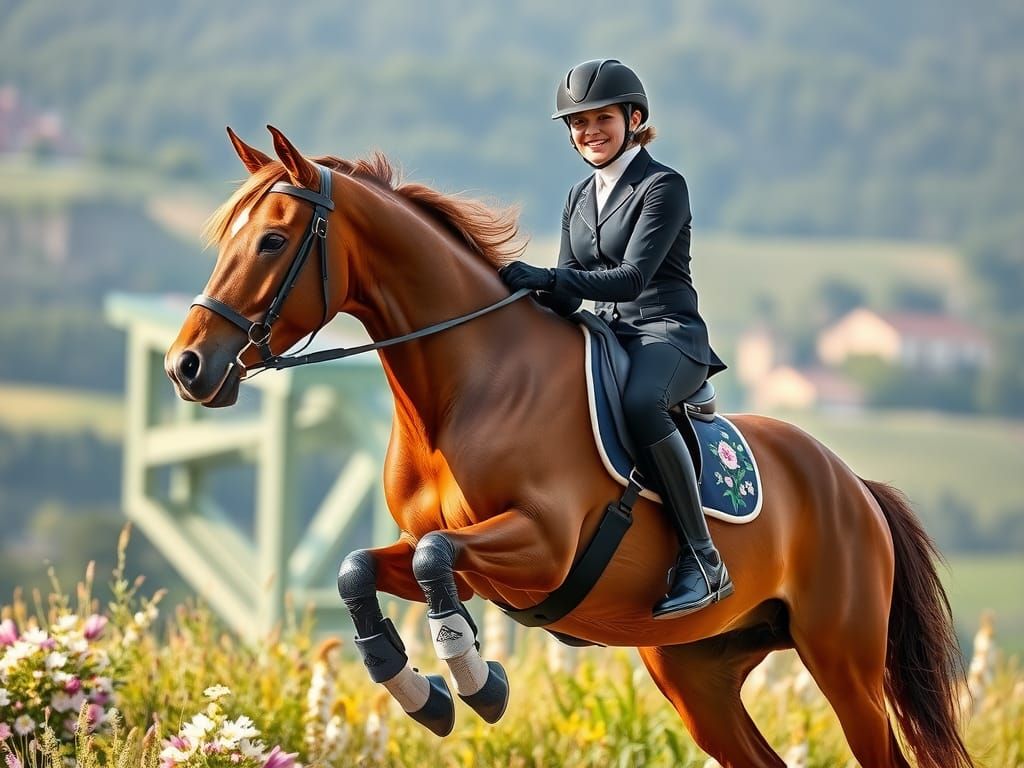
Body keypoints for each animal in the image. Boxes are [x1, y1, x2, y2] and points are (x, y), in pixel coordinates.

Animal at [164, 125, 972, 768]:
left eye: (272, 241)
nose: (186, 367)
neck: (463, 389)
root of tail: (854, 486)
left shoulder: (542, 545)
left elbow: (434, 562)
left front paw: (476, 682)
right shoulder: (448, 552)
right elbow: (360, 569)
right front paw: (424, 693)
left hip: (844, 662)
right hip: (699, 676)